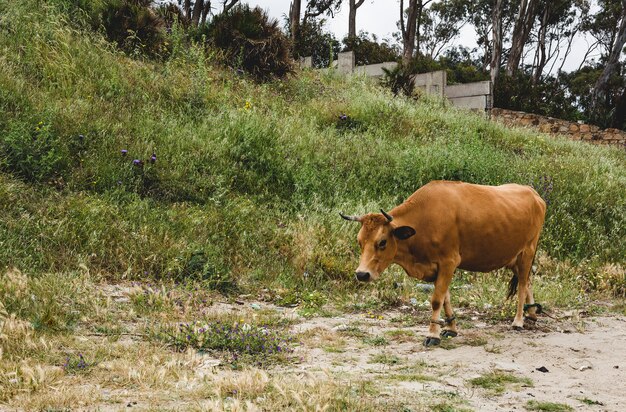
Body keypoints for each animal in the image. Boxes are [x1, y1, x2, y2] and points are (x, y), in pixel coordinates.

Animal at [338, 182, 544, 346]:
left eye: (382, 242)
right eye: (359, 241)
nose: (361, 274)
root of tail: (533, 193)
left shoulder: (448, 262)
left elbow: (437, 300)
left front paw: (433, 334)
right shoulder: (439, 267)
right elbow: (446, 298)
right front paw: (451, 328)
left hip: (527, 252)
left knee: (523, 284)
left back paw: (518, 321)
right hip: (512, 257)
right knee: (528, 281)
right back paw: (532, 313)